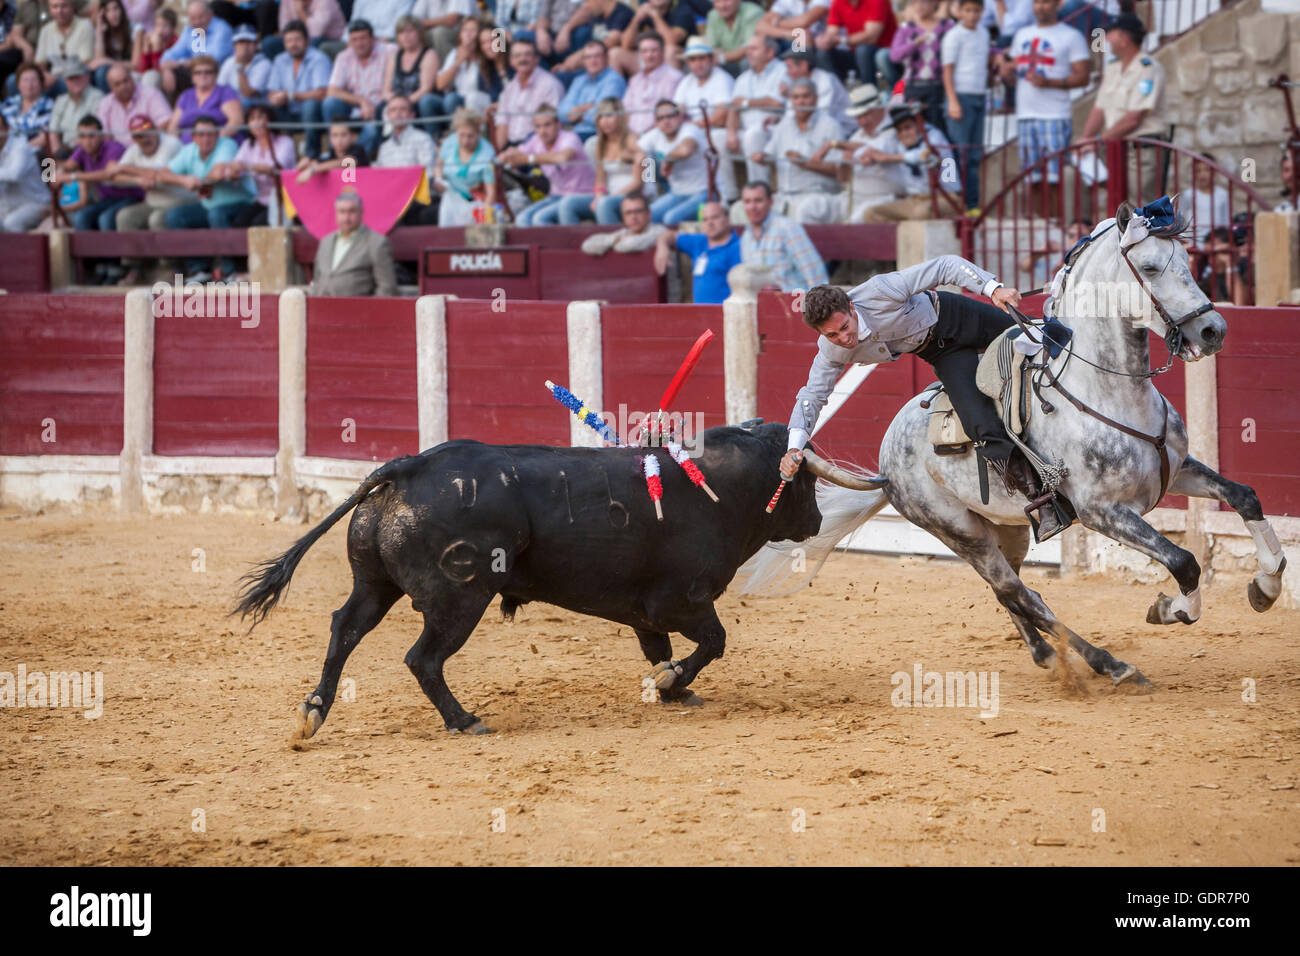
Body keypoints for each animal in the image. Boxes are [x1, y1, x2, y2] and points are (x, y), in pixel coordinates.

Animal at [235, 421, 873, 738]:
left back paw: (313, 712)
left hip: (375, 585)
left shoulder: (645, 611)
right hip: (459, 598)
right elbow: (713, 641)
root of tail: (409, 466)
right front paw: (672, 683)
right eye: (807, 481)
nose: (817, 520)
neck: (716, 488)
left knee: (345, 628)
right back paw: (465, 721)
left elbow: (660, 650)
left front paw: (672, 687)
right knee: (423, 658)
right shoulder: (682, 601)